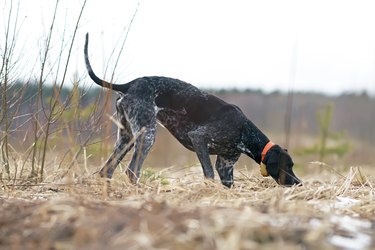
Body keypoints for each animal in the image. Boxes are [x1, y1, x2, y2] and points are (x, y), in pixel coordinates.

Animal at [83, 33, 302, 188]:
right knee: (132, 171)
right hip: (147, 136)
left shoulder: (225, 165)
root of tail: (129, 85)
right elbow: (208, 174)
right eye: (287, 165)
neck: (243, 130)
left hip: (126, 137)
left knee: (106, 170)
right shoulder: (199, 139)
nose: (298, 183)